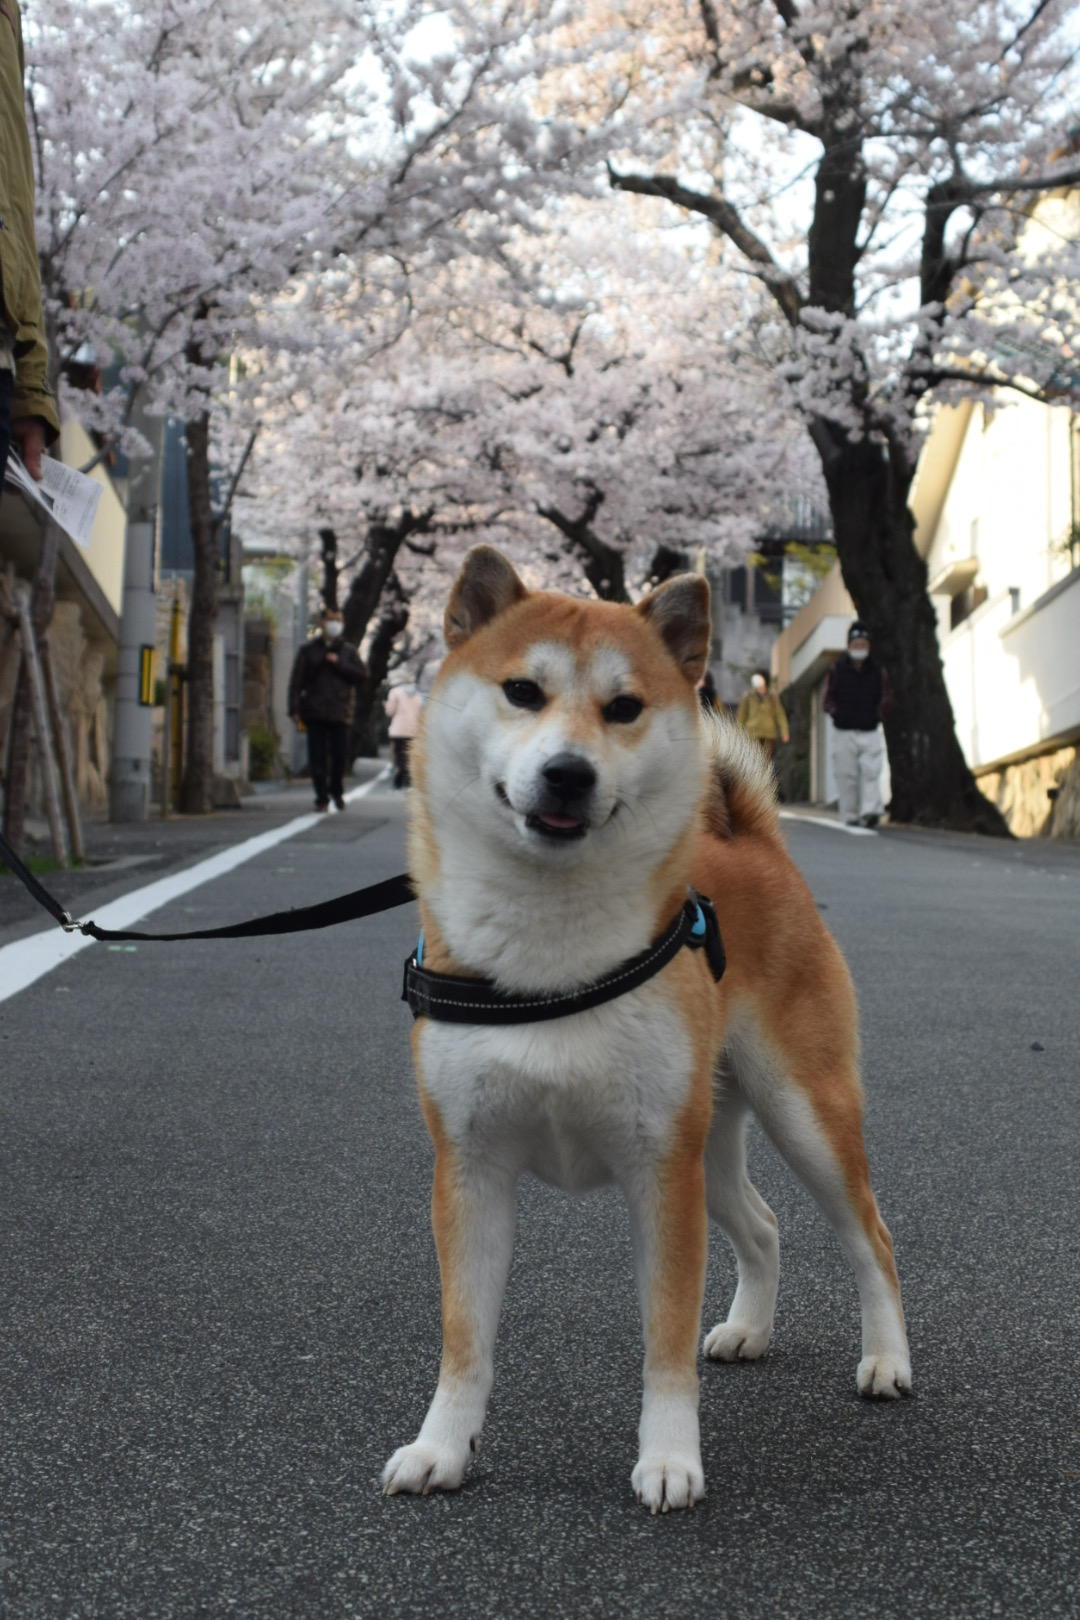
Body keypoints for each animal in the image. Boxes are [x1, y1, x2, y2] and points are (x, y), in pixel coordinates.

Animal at [383, 550, 906, 1509]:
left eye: (624, 707)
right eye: (522, 691)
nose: (569, 773)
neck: (548, 956)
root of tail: (755, 844)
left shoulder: (660, 1174)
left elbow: (663, 1343)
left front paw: (668, 1460)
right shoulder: (470, 1170)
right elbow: (464, 1341)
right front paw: (442, 1447)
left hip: (800, 1114)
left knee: (870, 1240)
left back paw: (887, 1361)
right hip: (710, 1139)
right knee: (765, 1226)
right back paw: (748, 1331)